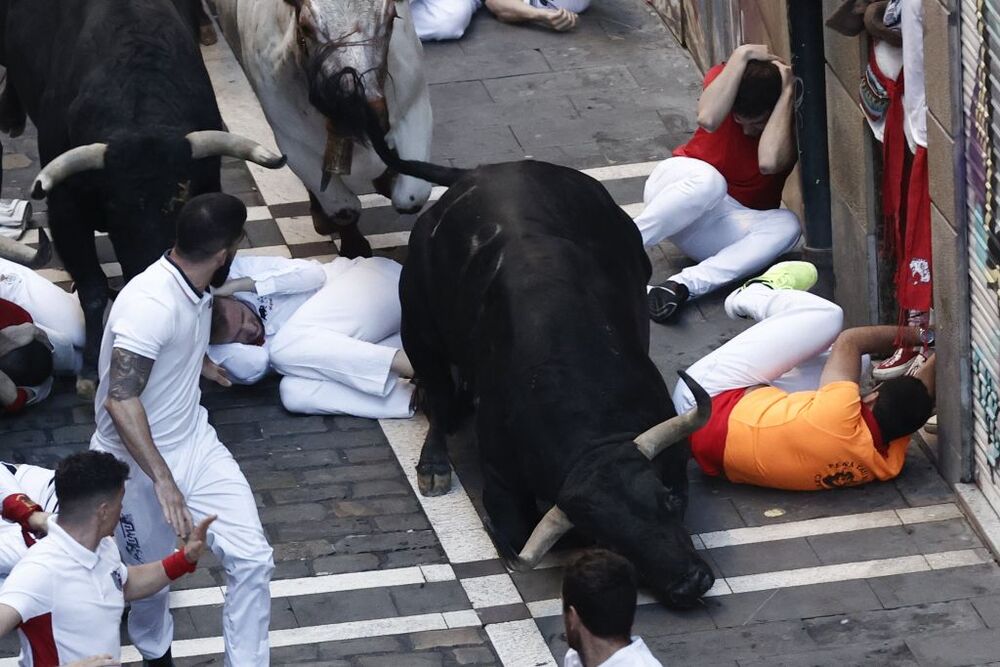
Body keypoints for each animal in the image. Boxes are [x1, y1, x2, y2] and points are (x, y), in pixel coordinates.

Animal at [213, 0, 432, 258]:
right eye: (306, 27)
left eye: (391, 19)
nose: (361, 107)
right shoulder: (293, 143)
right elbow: (343, 209)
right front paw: (354, 247)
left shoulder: (415, 107)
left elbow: (413, 195)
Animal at [398, 160, 720, 604]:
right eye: (608, 537)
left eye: (667, 502)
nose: (691, 582)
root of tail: (481, 171)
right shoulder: (502, 482)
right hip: (417, 324)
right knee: (438, 392)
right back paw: (434, 464)